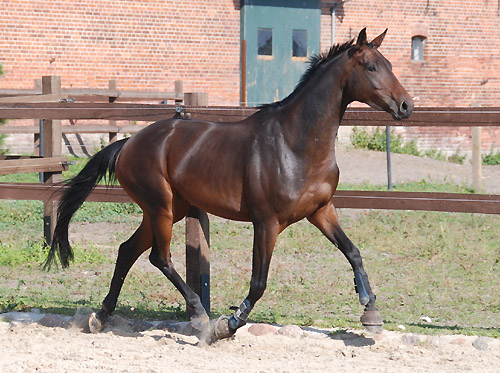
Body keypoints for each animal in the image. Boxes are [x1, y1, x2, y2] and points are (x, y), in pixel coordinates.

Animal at [46, 28, 414, 342]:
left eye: (390, 65)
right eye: (371, 67)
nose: (407, 105)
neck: (295, 143)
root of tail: (128, 143)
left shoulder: (322, 211)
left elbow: (353, 252)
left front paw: (371, 311)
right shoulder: (266, 223)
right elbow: (259, 282)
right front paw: (228, 324)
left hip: (169, 209)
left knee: (128, 251)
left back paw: (100, 317)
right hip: (160, 207)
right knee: (159, 257)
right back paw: (199, 316)